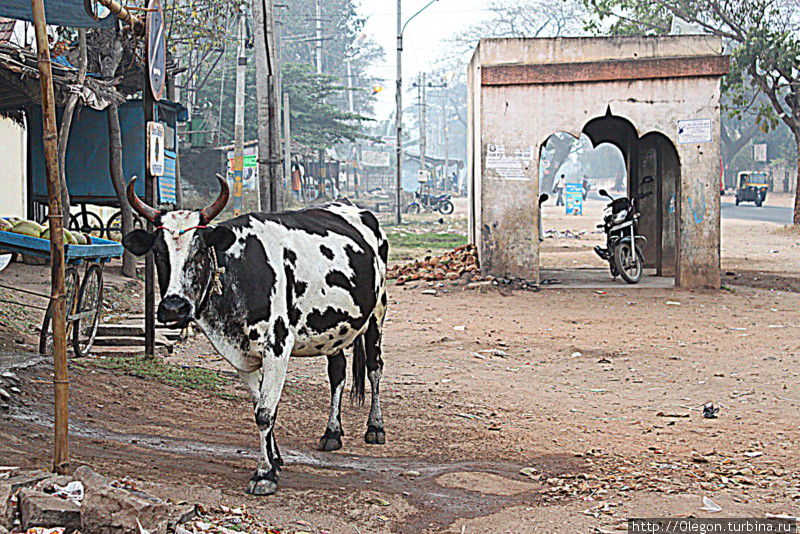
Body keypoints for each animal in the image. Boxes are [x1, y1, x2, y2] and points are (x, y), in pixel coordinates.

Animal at [119, 177, 390, 498]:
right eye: (159, 252)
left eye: (199, 252)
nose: (174, 307)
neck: (241, 269)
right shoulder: (242, 356)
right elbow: (261, 407)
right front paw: (274, 460)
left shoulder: (277, 348)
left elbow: (264, 413)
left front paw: (264, 475)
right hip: (333, 328)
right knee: (337, 372)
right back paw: (332, 432)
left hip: (377, 313)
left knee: (374, 368)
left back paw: (375, 428)